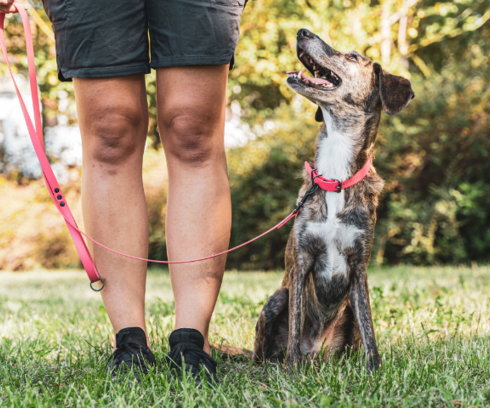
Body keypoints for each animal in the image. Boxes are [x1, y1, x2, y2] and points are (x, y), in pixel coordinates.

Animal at [255, 29, 416, 372]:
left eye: (352, 57)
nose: (303, 31)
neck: (334, 176)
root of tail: (318, 355)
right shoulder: (301, 261)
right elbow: (296, 323)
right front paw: (292, 373)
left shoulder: (358, 267)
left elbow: (369, 329)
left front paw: (374, 371)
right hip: (276, 299)